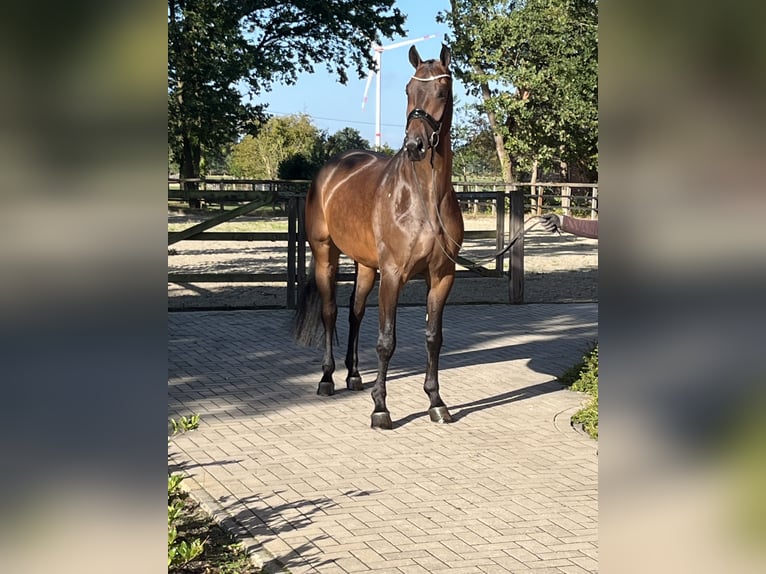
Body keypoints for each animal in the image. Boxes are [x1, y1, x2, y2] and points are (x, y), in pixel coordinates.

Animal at [292, 44, 464, 429]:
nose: (415, 144)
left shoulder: (442, 276)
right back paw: (328, 378)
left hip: (366, 266)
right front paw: (381, 408)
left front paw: (436, 402)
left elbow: (434, 338)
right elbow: (386, 341)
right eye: (408, 91)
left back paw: (354, 375)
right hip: (326, 255)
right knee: (331, 312)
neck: (423, 198)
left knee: (355, 313)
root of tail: (330, 169)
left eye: (442, 91)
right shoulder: (394, 275)